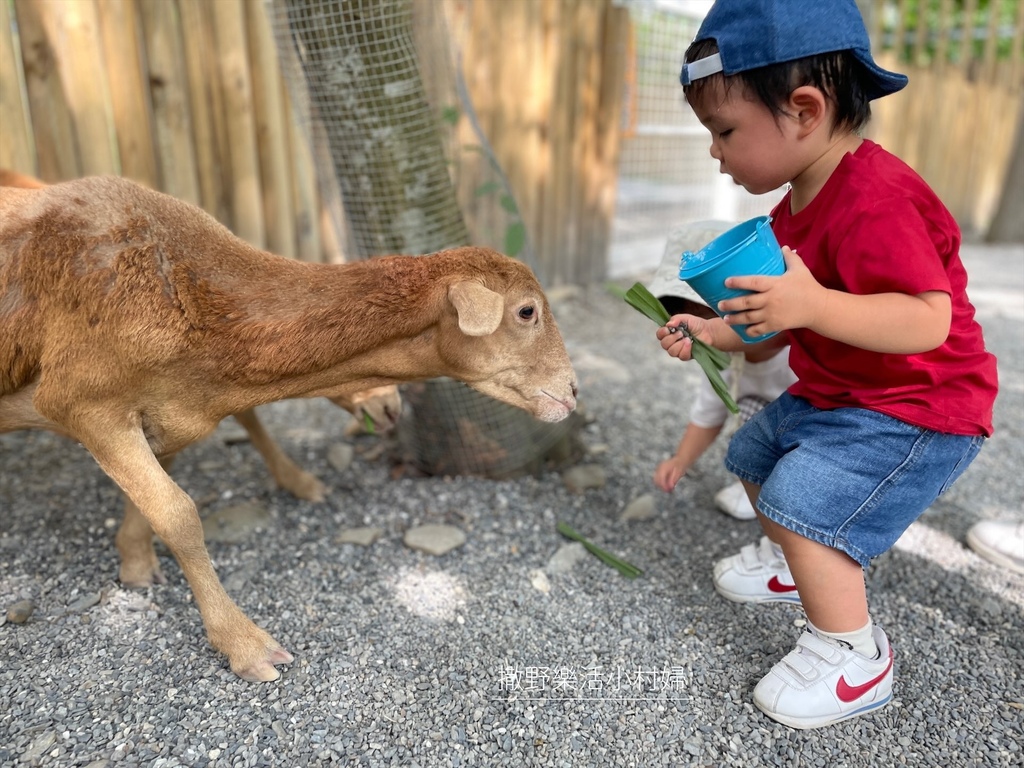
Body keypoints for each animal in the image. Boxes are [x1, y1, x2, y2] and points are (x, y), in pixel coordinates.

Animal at [0, 176, 577, 684]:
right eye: (527, 311)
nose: (572, 392)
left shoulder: (168, 413)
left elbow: (155, 498)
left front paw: (136, 562)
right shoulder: (84, 402)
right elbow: (180, 515)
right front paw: (247, 648)